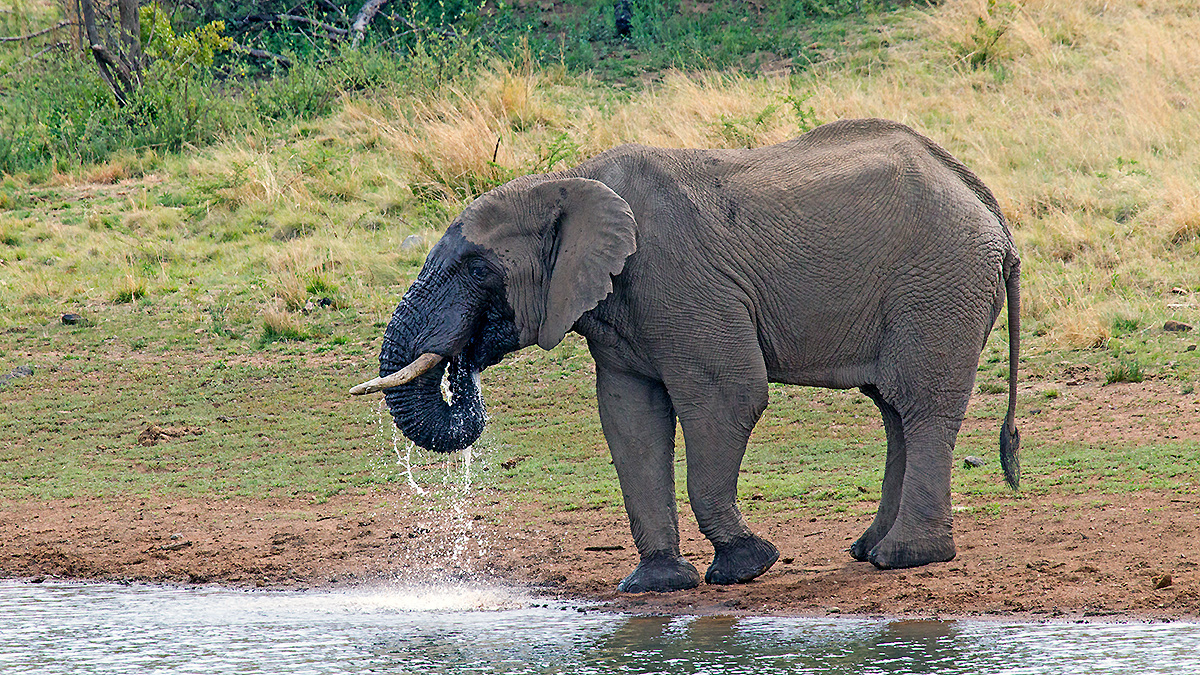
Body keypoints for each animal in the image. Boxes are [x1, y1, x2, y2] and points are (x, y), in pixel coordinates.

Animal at [351, 118, 1021, 593]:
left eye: (475, 268)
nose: (462, 360)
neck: (569, 180)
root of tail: (989, 204)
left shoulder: (680, 280)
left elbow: (730, 395)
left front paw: (746, 568)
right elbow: (629, 420)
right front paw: (656, 585)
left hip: (938, 284)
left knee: (920, 406)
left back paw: (905, 559)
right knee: (892, 410)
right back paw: (868, 551)